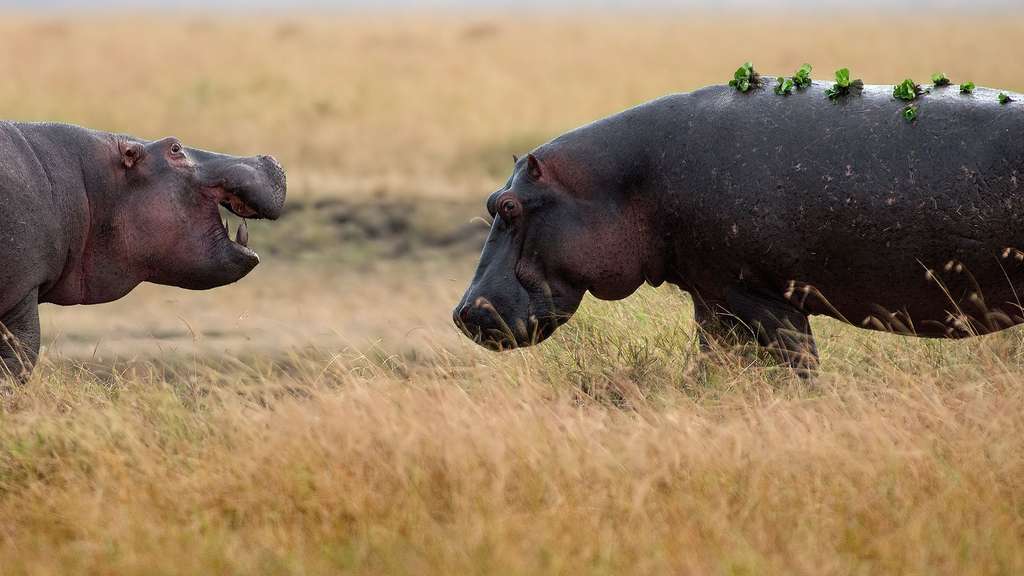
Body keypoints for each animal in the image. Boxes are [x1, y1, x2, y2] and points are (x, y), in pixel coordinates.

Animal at [454, 79, 1024, 373]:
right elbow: (713, 365)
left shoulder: (760, 296)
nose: (463, 313)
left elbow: (797, 367)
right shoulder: (712, 296)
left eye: (510, 207)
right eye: (490, 201)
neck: (620, 182)